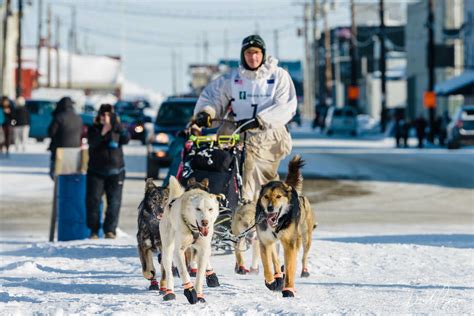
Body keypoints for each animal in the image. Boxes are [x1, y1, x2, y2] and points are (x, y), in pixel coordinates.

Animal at [158, 175, 219, 304]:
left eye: (210, 209)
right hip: (168, 249)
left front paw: (199, 295)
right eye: (198, 209)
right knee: (168, 270)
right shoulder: (179, 251)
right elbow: (183, 272)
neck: (194, 229)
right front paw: (190, 291)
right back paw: (169, 292)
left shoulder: (204, 249)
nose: (205, 222)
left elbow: (200, 275)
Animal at [254, 156, 316, 296]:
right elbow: (267, 264)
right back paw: (277, 276)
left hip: (305, 238)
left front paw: (288, 289)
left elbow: (289, 268)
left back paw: (303, 271)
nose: (270, 208)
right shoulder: (265, 241)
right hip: (274, 241)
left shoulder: (289, 244)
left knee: (303, 256)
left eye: (278, 196)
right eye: (266, 196)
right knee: (276, 260)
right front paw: (271, 281)